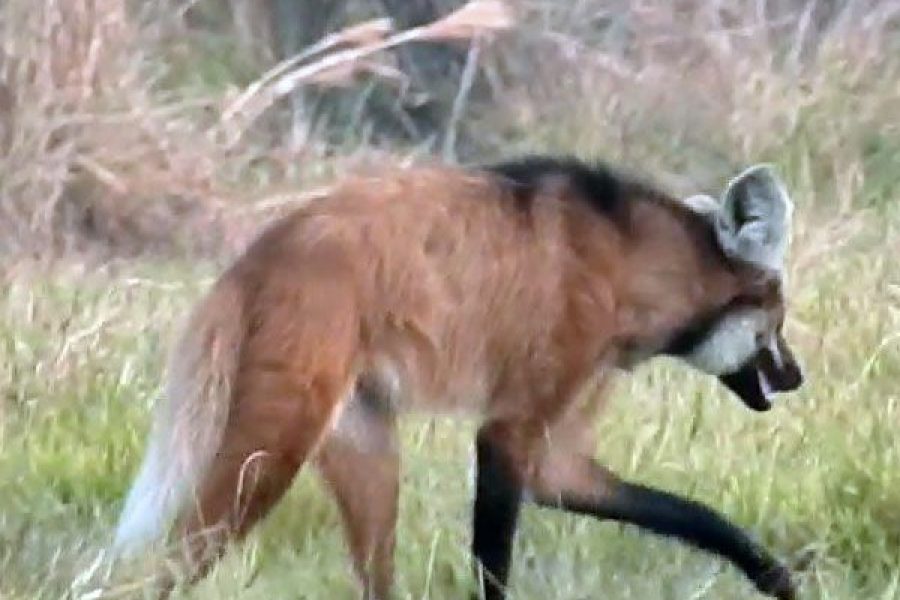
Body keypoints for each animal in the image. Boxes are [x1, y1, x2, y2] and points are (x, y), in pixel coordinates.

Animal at [110, 156, 800, 600]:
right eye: (779, 320)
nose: (795, 377)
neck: (633, 267)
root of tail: (250, 259)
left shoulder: (559, 447)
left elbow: (696, 514)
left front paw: (776, 577)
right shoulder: (509, 428)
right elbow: (493, 563)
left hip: (364, 449)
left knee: (376, 579)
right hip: (271, 451)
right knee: (171, 557)